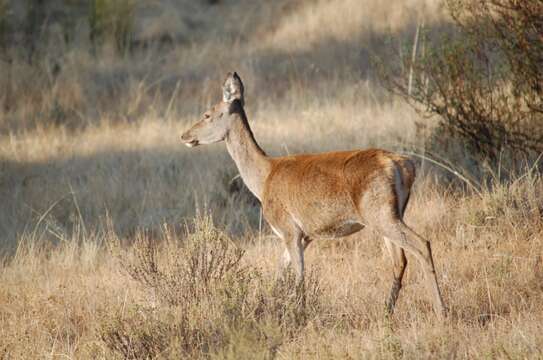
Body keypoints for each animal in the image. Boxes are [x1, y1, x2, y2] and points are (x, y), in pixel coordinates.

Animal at [182, 72, 446, 318]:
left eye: (207, 114)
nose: (184, 135)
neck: (263, 179)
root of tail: (404, 165)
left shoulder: (289, 228)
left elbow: (299, 276)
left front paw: (298, 313)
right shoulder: (304, 235)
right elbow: (280, 273)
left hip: (381, 213)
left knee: (422, 244)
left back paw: (441, 311)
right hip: (390, 214)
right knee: (400, 260)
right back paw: (387, 312)